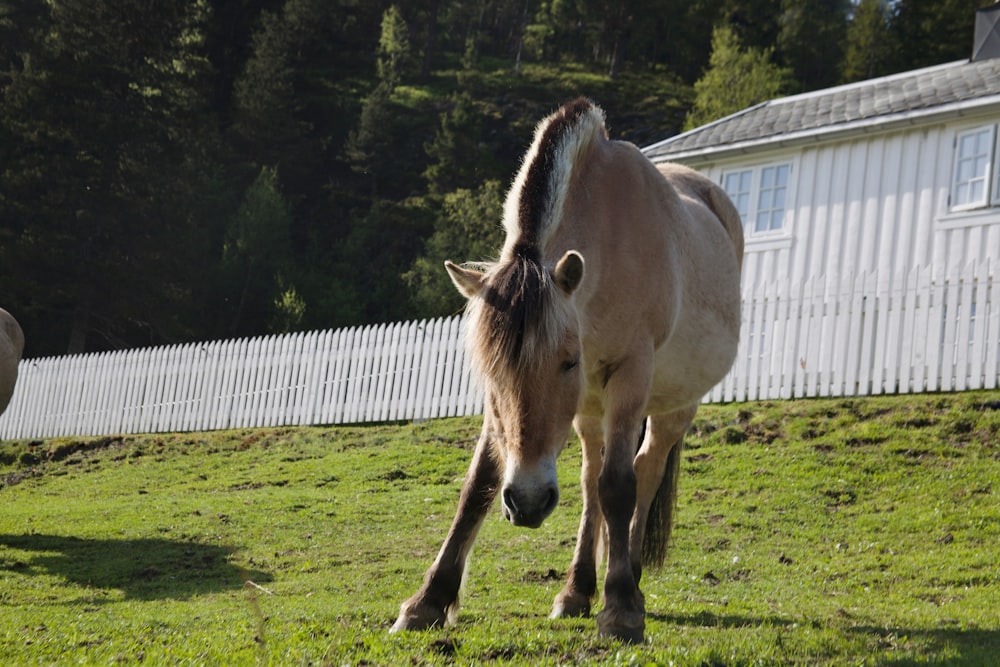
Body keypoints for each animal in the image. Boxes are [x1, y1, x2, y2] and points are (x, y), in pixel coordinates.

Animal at [390, 96, 744, 644]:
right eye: (489, 371)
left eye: (568, 361)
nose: (528, 502)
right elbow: (479, 486)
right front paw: (428, 600)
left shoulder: (631, 374)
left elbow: (619, 486)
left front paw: (621, 609)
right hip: (589, 410)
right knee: (589, 477)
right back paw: (577, 590)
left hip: (672, 406)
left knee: (644, 468)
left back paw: (629, 577)